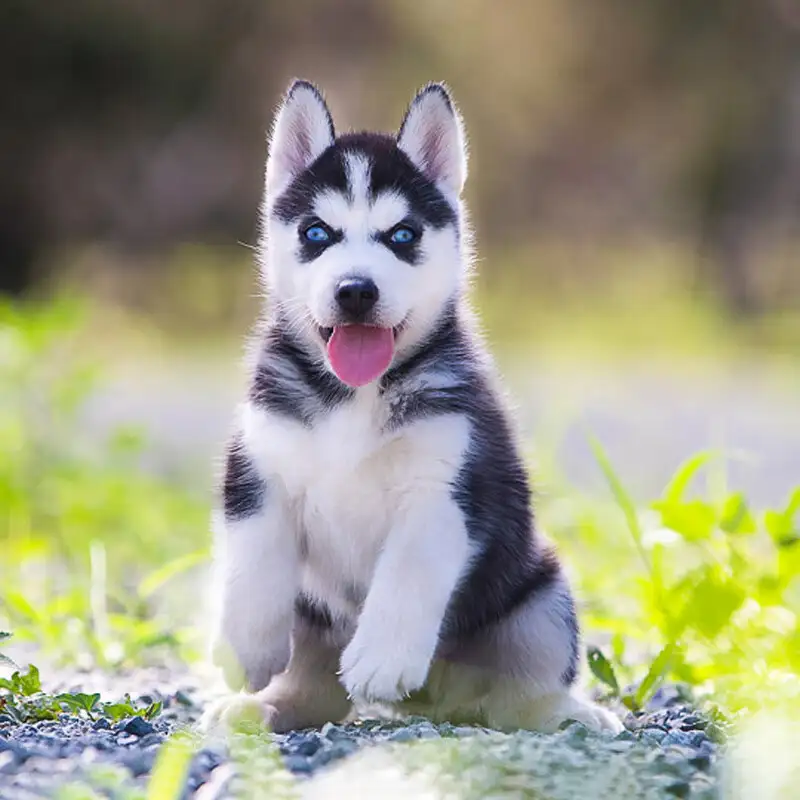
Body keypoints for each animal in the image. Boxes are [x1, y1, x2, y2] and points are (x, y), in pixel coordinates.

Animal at [202, 81, 624, 736]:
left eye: (402, 236)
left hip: (541, 592)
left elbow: (408, 572)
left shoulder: (444, 488)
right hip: (314, 609)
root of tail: (442, 703)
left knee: (524, 689)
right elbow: (251, 563)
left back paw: (566, 712)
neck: (354, 394)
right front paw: (244, 650)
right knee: (319, 687)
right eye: (316, 233)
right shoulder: (258, 468)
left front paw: (382, 658)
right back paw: (267, 705)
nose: (355, 290)